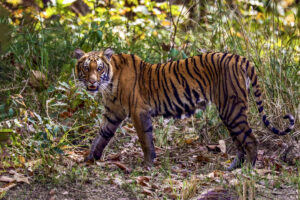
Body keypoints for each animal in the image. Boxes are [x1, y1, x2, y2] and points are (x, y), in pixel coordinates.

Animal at [74, 48, 294, 170]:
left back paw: (248, 170)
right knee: (240, 142)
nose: (92, 82)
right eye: (86, 68)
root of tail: (241, 59)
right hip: (229, 111)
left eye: (99, 68)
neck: (109, 83)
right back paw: (232, 169)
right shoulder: (113, 113)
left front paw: (147, 165)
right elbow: (101, 136)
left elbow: (145, 140)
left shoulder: (139, 112)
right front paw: (90, 158)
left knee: (251, 140)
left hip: (232, 108)